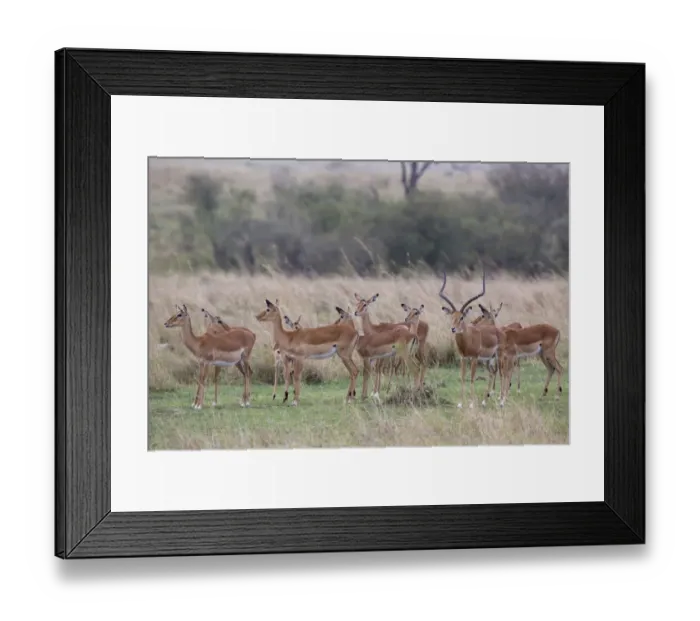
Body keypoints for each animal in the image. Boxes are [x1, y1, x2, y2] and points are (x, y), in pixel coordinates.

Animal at [438, 269, 508, 409]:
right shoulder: (463, 358)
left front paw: (470, 404)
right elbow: (462, 377)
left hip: (499, 356)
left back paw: (501, 402)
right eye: (452, 317)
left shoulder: (474, 358)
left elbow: (472, 377)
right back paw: (484, 402)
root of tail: (499, 330)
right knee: (492, 373)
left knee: (502, 373)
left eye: (461, 317)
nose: (453, 329)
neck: (467, 340)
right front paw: (460, 403)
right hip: (488, 360)